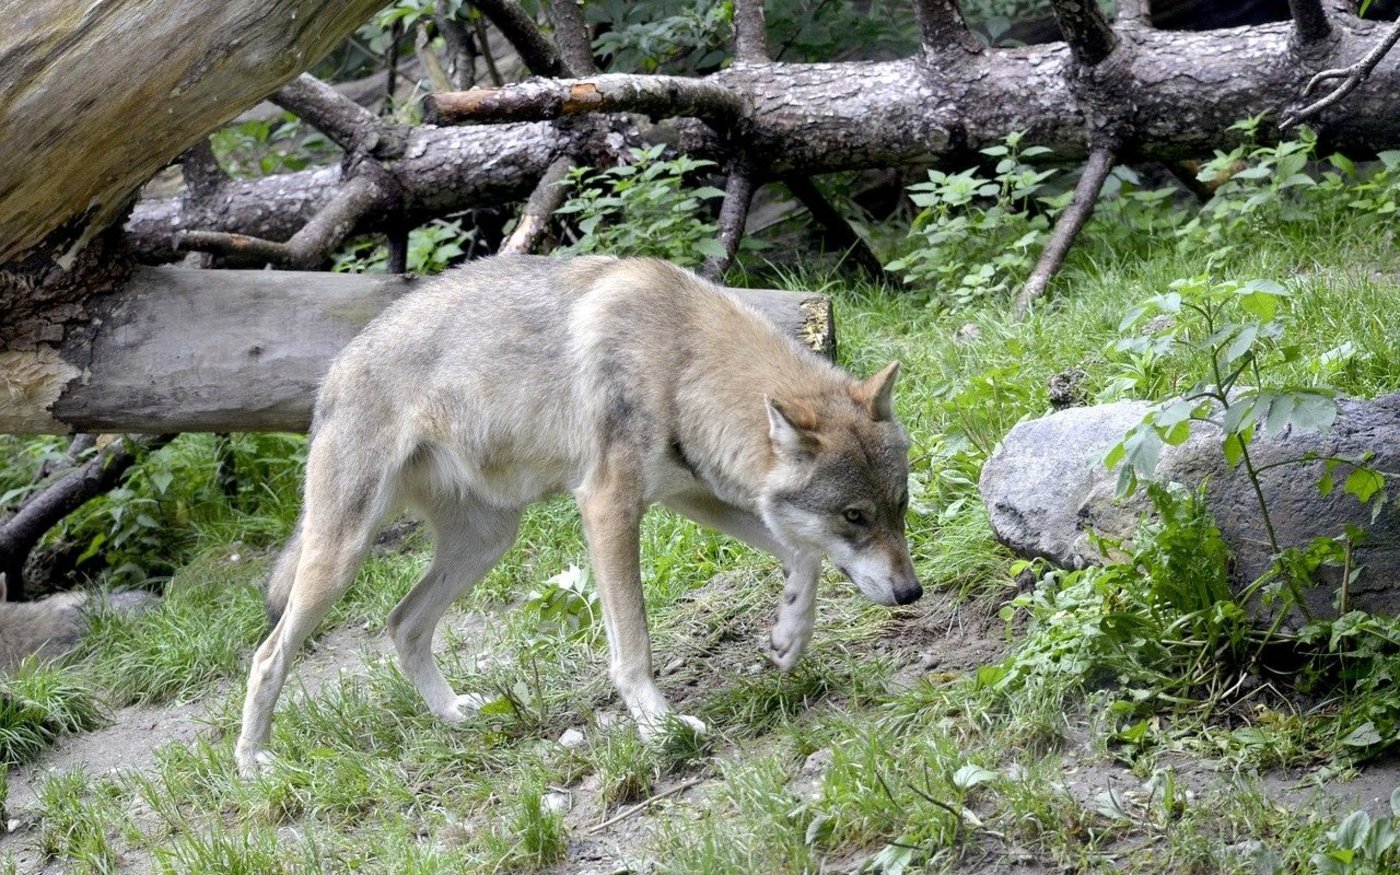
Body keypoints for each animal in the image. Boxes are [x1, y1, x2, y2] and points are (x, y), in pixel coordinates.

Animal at [235, 254, 921, 775]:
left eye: (900, 506)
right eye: (854, 517)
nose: (912, 593)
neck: (677, 358)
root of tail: (332, 374)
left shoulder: (690, 496)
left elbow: (803, 556)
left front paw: (789, 636)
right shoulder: (608, 508)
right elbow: (633, 645)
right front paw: (661, 729)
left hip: (488, 542)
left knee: (402, 624)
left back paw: (455, 716)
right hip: (340, 559)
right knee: (268, 655)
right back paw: (254, 764)